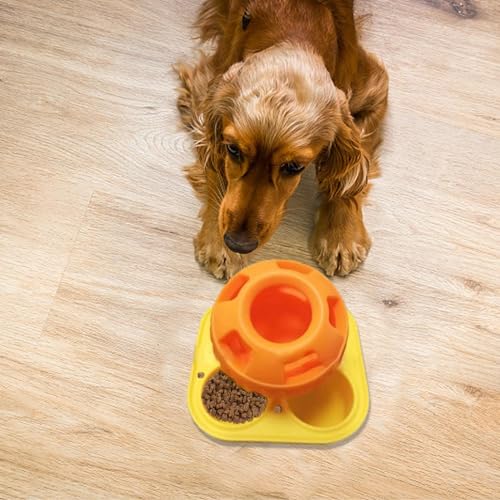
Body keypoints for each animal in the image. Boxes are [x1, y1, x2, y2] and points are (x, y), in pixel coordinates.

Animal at [175, 0, 386, 280]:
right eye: (233, 150)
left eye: (294, 167)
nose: (237, 243)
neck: (293, 33)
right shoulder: (204, 89)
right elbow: (214, 164)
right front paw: (218, 244)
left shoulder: (374, 88)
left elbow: (352, 172)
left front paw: (340, 236)